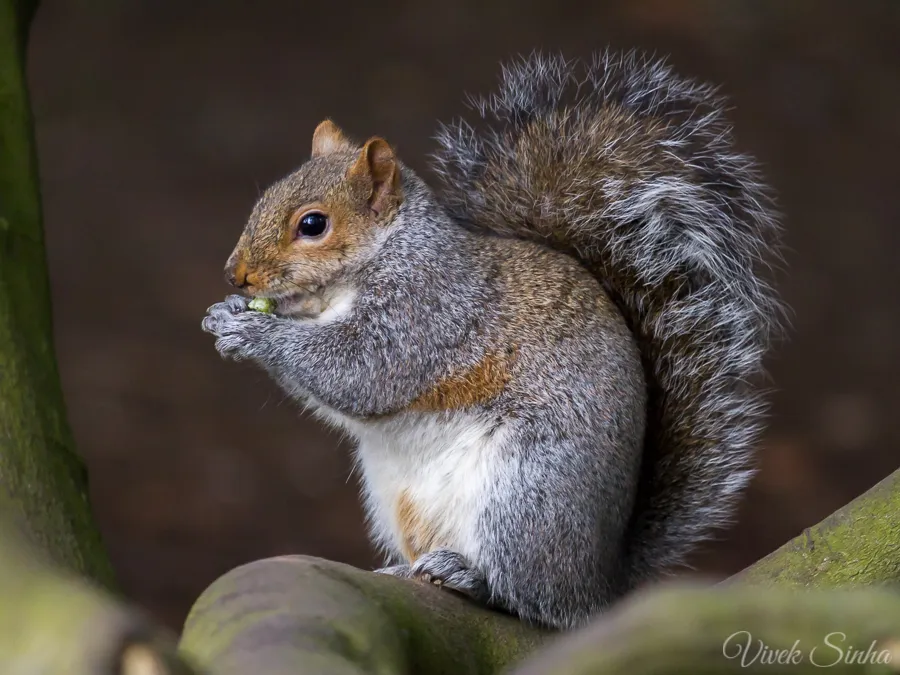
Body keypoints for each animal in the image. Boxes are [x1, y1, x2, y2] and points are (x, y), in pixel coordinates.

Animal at [202, 51, 783, 630]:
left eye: (313, 225)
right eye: (263, 199)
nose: (236, 276)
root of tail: (602, 583)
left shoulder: (427, 313)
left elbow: (360, 373)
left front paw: (257, 331)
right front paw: (225, 314)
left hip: (526, 495)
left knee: (534, 599)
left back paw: (472, 578)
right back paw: (406, 569)